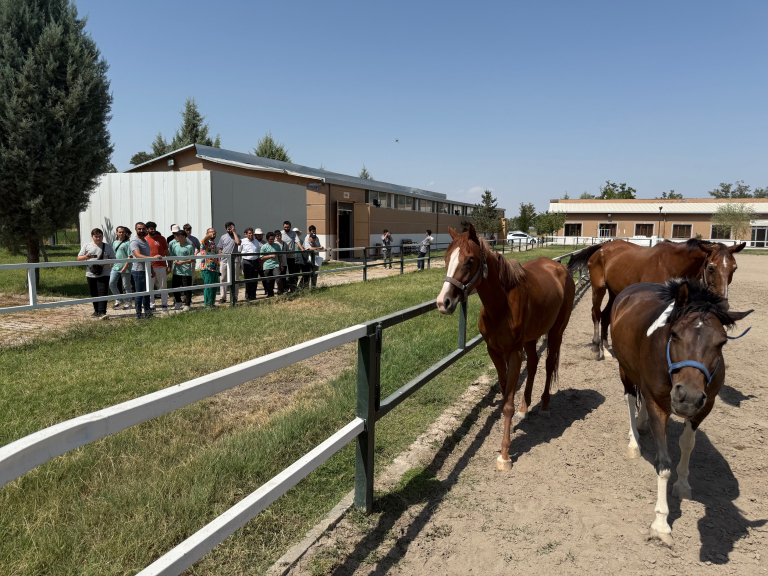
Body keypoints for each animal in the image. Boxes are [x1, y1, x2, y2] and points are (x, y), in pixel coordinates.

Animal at [437, 225, 575, 470]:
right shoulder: (494, 352)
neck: (502, 305)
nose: (443, 302)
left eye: (470, 260)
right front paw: (510, 429)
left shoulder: (514, 353)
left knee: (549, 365)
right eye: (446, 257)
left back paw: (544, 407)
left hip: (556, 331)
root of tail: (559, 268)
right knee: (533, 365)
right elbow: (505, 396)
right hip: (531, 338)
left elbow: (508, 403)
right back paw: (524, 409)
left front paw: (505, 454)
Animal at [566, 238, 745, 360]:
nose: (724, 304)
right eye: (711, 268)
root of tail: (602, 247)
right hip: (599, 288)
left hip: (614, 292)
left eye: (734, 268)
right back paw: (597, 346)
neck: (672, 264)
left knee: (605, 316)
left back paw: (606, 348)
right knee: (596, 313)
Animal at [610, 279, 752, 546]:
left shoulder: (704, 408)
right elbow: (663, 464)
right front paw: (661, 523)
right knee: (630, 398)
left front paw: (683, 484)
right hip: (625, 369)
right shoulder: (658, 406)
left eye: (722, 342)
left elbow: (687, 444)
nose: (687, 396)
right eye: (674, 334)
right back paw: (634, 440)